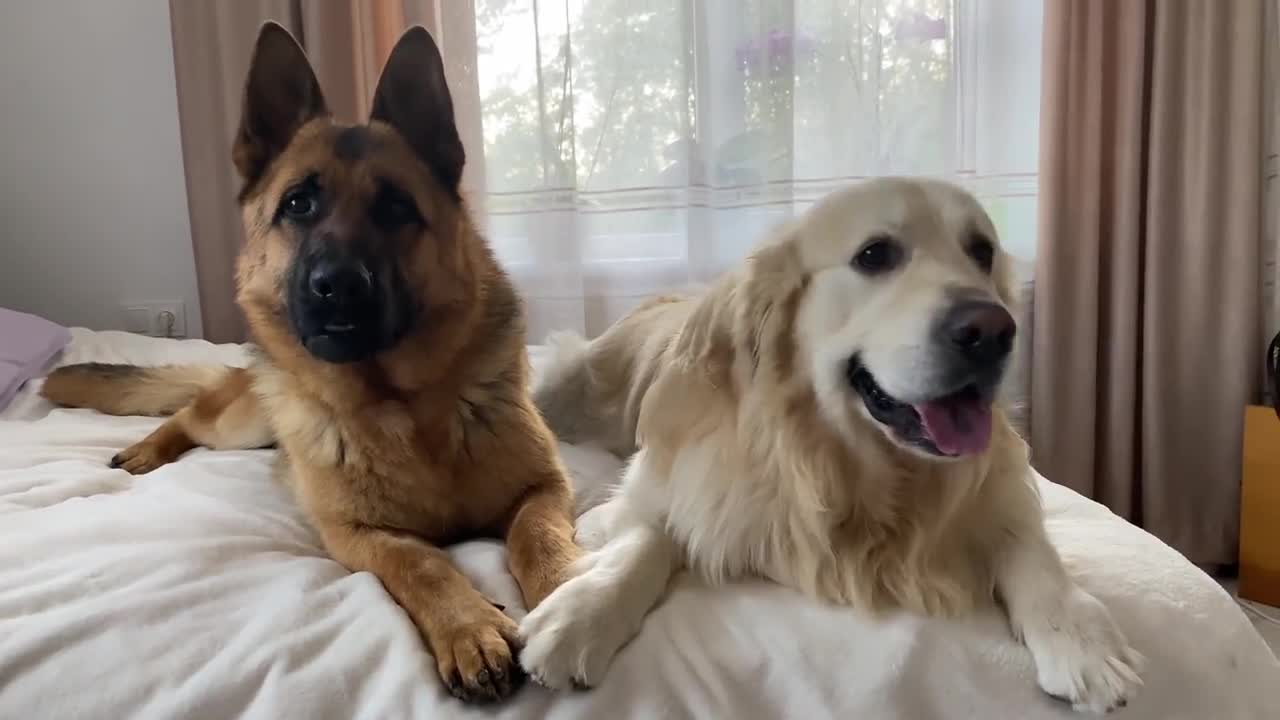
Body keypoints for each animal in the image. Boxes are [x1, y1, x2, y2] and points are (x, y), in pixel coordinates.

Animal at [41, 22, 581, 702]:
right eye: (298, 204)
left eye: (397, 209)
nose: (338, 286)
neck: (403, 408)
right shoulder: (357, 534)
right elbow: (424, 563)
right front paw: (468, 625)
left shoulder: (545, 486)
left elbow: (537, 536)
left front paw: (573, 599)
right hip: (239, 427)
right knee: (189, 414)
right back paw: (149, 447)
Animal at [519, 176, 1152, 707]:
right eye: (875, 254)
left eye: (982, 251)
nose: (993, 332)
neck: (852, 461)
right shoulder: (666, 488)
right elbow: (644, 542)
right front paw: (580, 615)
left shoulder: (1000, 496)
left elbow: (1036, 556)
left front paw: (1083, 641)